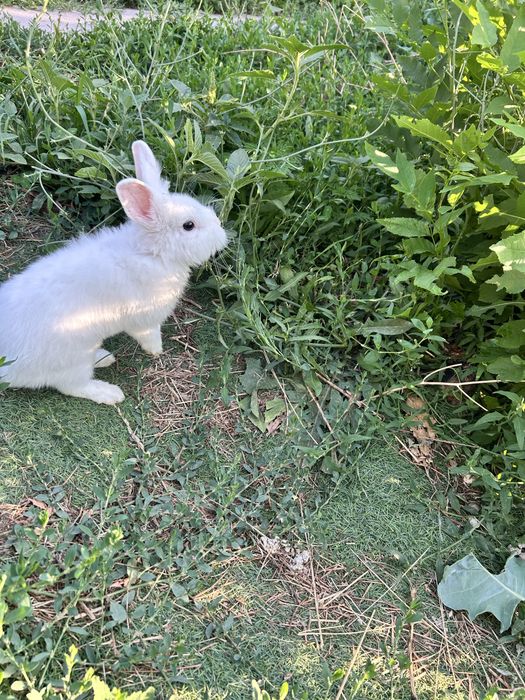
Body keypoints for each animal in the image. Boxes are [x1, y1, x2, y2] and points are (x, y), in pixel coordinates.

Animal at [0, 140, 227, 404]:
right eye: (188, 226)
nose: (221, 231)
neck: (151, 252)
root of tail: (7, 366)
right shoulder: (145, 320)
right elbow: (149, 335)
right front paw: (156, 351)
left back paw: (104, 357)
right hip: (73, 361)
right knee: (72, 386)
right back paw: (110, 392)